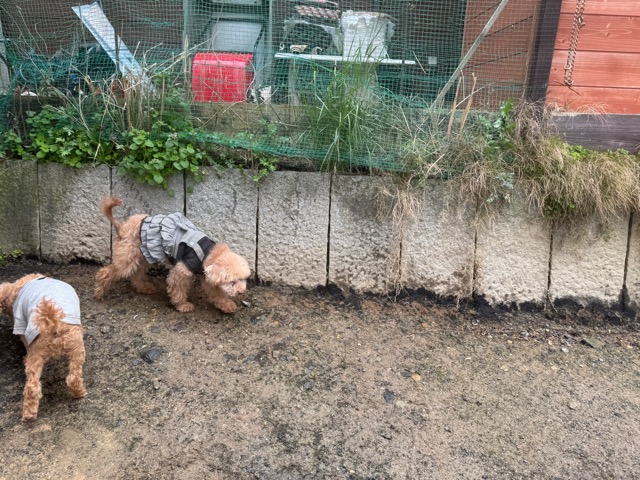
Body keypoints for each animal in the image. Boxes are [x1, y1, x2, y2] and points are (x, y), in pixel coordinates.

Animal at [95, 196, 251, 313]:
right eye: (232, 281)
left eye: (243, 279)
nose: (241, 292)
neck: (208, 253)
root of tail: (122, 227)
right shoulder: (182, 270)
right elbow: (178, 289)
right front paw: (183, 305)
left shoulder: (206, 275)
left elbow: (216, 293)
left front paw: (227, 305)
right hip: (127, 258)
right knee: (106, 272)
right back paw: (99, 293)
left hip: (143, 257)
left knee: (136, 274)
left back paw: (144, 288)